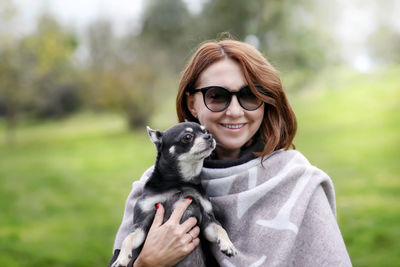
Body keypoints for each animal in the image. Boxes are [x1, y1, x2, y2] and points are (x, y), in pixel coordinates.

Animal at [111, 122, 238, 267]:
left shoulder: (208, 221)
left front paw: (228, 245)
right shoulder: (141, 223)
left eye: (206, 131)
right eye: (187, 137)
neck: (179, 183)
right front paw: (121, 259)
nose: (209, 136)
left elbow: (220, 228)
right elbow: (128, 238)